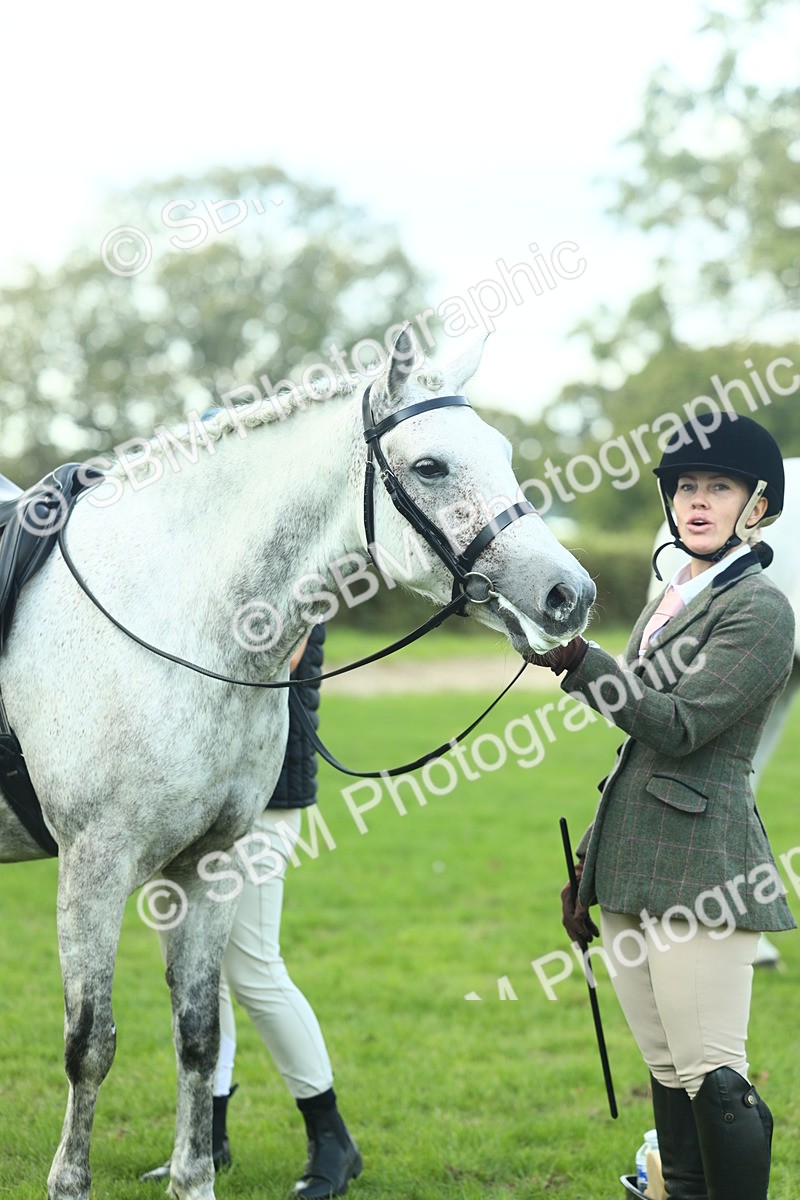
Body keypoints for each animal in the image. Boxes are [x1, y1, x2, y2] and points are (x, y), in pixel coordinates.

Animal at [0, 329, 595, 1200]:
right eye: (431, 467)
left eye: (503, 452)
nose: (569, 593)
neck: (167, 618)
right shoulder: (93, 869)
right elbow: (91, 1043)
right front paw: (69, 1182)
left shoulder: (207, 864)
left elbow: (199, 1034)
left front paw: (194, 1179)